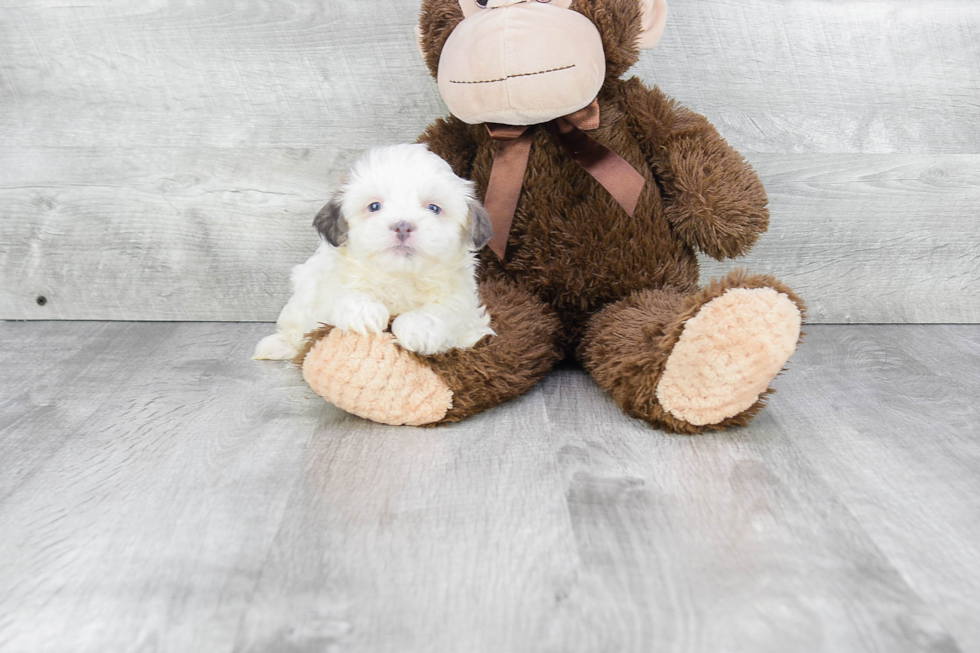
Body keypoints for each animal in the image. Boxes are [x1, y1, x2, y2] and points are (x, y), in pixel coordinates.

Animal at [255, 143, 494, 362]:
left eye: (434, 208)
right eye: (374, 206)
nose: (403, 226)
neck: (400, 278)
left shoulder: (463, 306)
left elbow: (444, 310)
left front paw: (418, 327)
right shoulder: (325, 285)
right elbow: (340, 295)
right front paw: (364, 312)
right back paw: (278, 345)